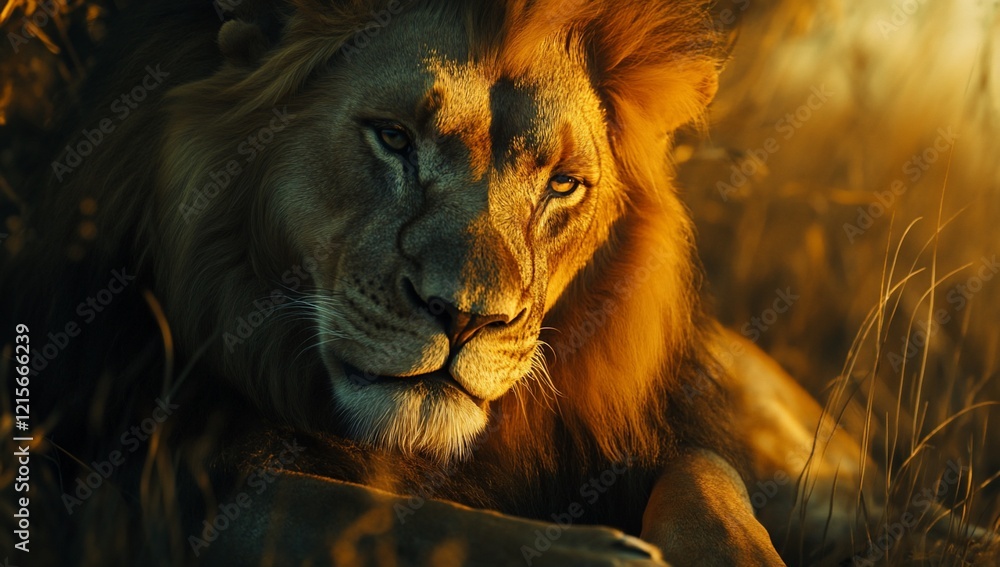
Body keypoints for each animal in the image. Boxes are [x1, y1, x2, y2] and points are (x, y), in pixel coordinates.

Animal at [2, 0, 874, 565]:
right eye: (393, 137)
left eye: (562, 186)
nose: (465, 318)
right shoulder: (150, 475)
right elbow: (365, 513)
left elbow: (707, 476)